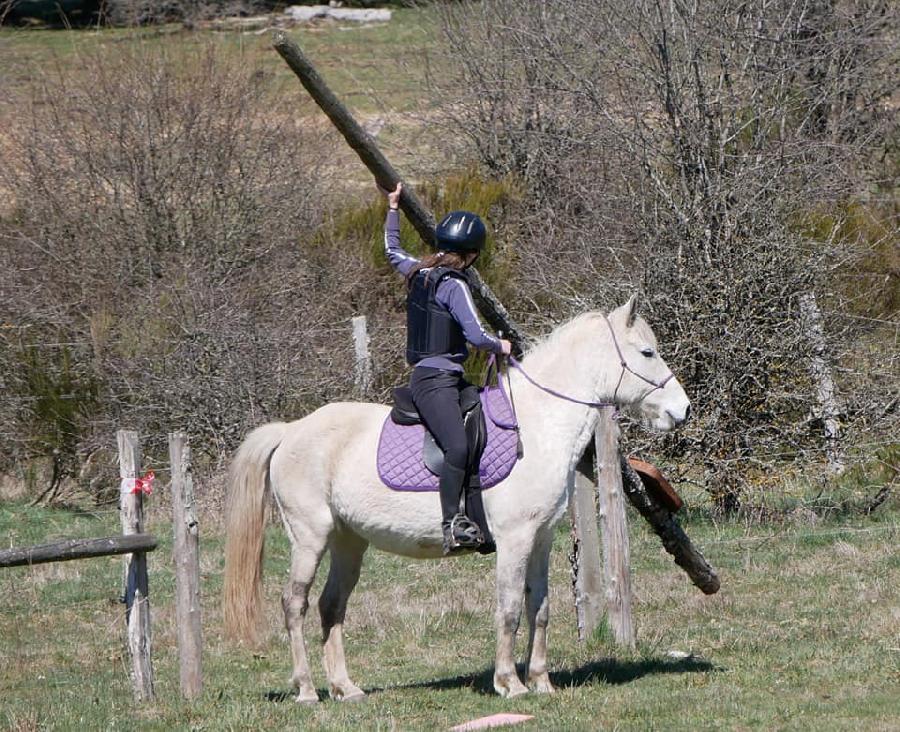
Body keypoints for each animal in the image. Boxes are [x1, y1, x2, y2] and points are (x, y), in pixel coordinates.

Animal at [223, 294, 688, 700]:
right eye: (647, 352)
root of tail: (291, 430)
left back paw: (345, 688)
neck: (538, 425)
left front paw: (541, 681)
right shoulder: (515, 538)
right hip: (310, 537)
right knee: (294, 604)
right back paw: (306, 690)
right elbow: (509, 608)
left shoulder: (540, 538)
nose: (682, 411)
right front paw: (510, 683)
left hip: (347, 541)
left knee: (331, 605)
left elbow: (539, 607)